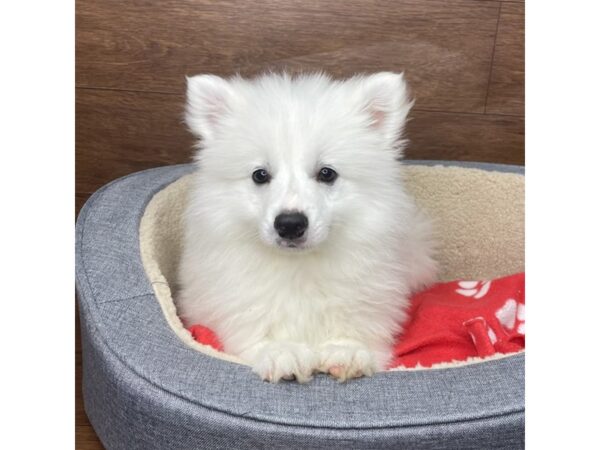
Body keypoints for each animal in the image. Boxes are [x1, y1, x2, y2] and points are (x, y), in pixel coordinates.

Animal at [177, 72, 436, 382]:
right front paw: (281, 352)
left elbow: (355, 331)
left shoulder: (367, 302)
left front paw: (346, 351)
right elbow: (260, 330)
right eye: (260, 175)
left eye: (327, 173)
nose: (290, 224)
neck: (299, 267)